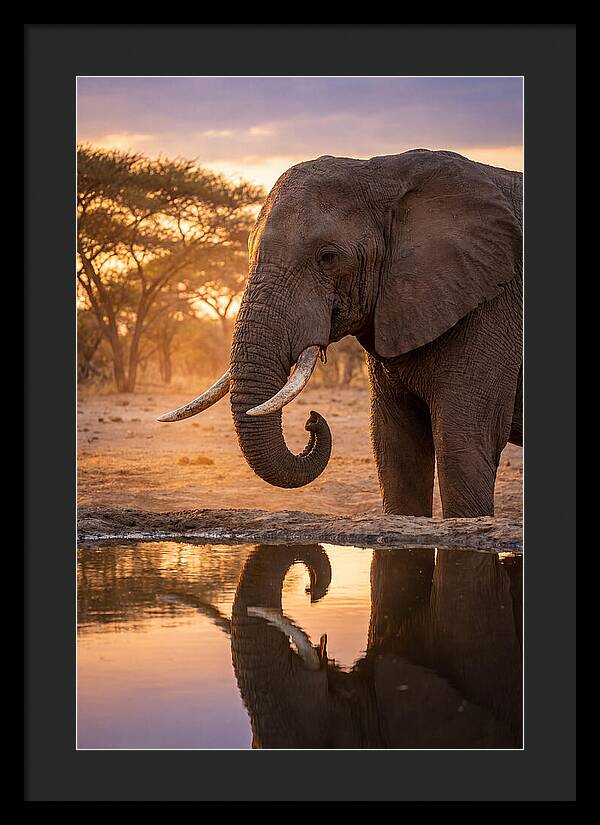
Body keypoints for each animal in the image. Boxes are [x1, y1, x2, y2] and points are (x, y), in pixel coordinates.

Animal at [160, 149, 523, 518]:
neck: (387, 173)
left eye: (328, 257)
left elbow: (462, 443)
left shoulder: (494, 305)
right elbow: (395, 447)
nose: (312, 420)